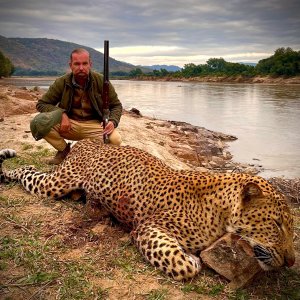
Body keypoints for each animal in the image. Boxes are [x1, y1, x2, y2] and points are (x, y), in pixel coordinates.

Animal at [0, 139, 296, 280]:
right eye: (277, 224)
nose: (292, 262)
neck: (220, 211)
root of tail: (86, 142)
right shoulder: (149, 226)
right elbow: (181, 264)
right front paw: (193, 260)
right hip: (56, 183)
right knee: (27, 171)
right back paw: (8, 171)